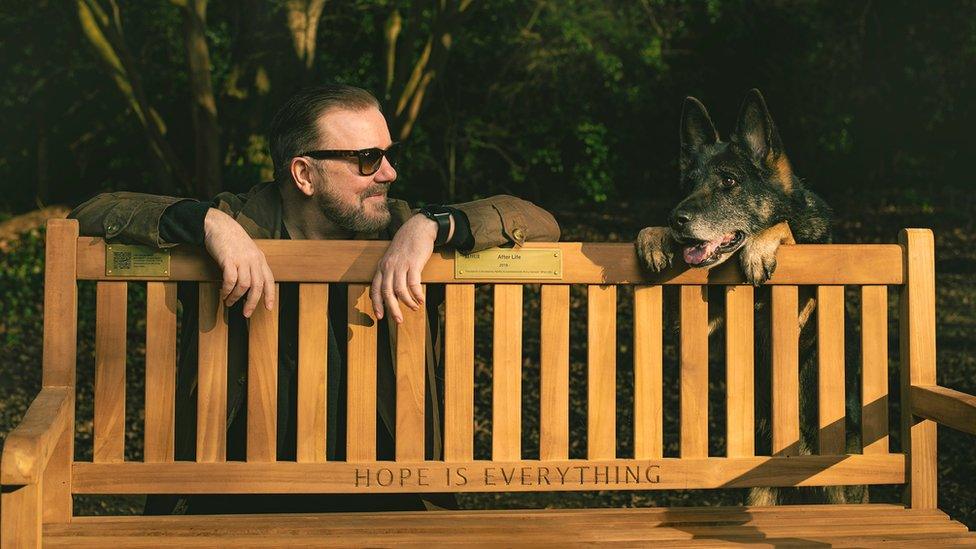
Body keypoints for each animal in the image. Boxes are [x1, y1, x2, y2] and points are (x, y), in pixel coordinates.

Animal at [636, 90, 864, 506]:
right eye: (688, 185)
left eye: (729, 181)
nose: (676, 218)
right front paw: (654, 235)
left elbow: (783, 227)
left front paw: (760, 247)